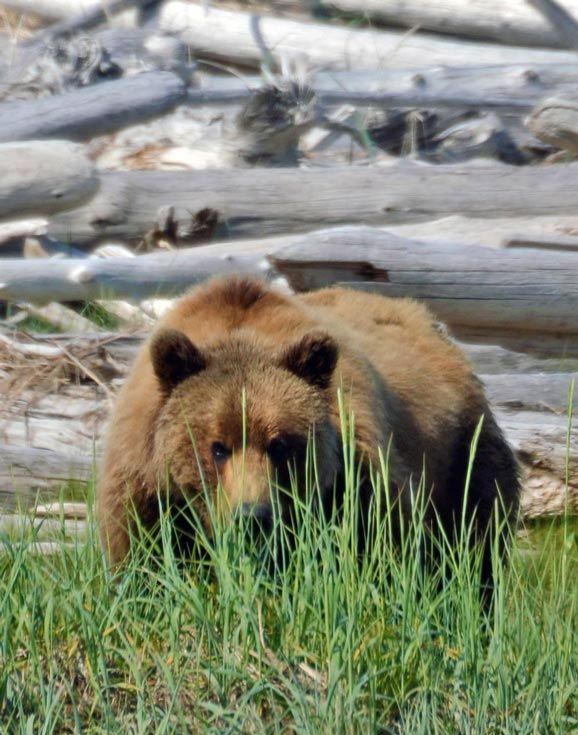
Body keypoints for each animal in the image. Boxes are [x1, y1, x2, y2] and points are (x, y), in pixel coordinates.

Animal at [97, 276, 519, 590]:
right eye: (217, 447)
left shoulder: (355, 480)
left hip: (465, 455)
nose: (252, 517)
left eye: (280, 445)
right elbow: (142, 560)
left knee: (478, 545)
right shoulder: (149, 489)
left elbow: (382, 553)